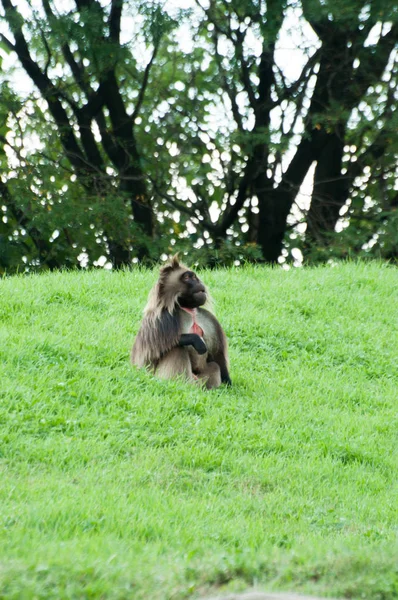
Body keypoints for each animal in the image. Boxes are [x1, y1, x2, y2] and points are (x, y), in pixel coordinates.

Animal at [131, 253, 230, 390]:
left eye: (194, 276)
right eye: (187, 277)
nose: (199, 282)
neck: (189, 310)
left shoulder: (209, 319)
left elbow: (217, 355)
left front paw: (229, 384)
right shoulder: (163, 318)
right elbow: (152, 351)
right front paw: (197, 340)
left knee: (215, 366)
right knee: (177, 348)